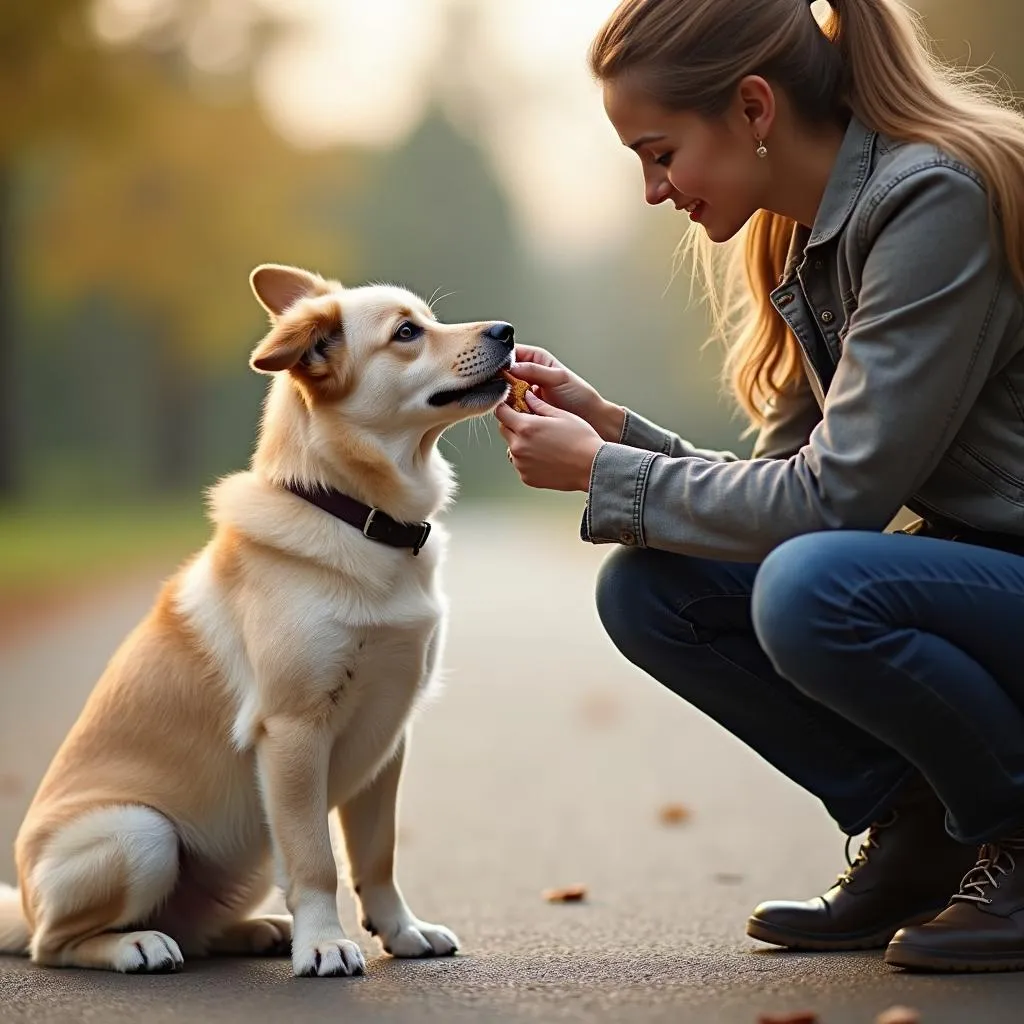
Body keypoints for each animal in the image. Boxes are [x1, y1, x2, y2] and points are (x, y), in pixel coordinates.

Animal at [0, 264, 516, 974]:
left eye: (428, 320)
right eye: (407, 333)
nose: (508, 331)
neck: (356, 517)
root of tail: (24, 901)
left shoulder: (390, 733)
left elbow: (377, 856)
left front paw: (400, 930)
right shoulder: (295, 732)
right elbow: (317, 860)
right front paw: (324, 942)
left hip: (237, 856)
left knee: (196, 928)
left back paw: (256, 931)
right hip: (142, 833)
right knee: (55, 944)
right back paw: (136, 943)